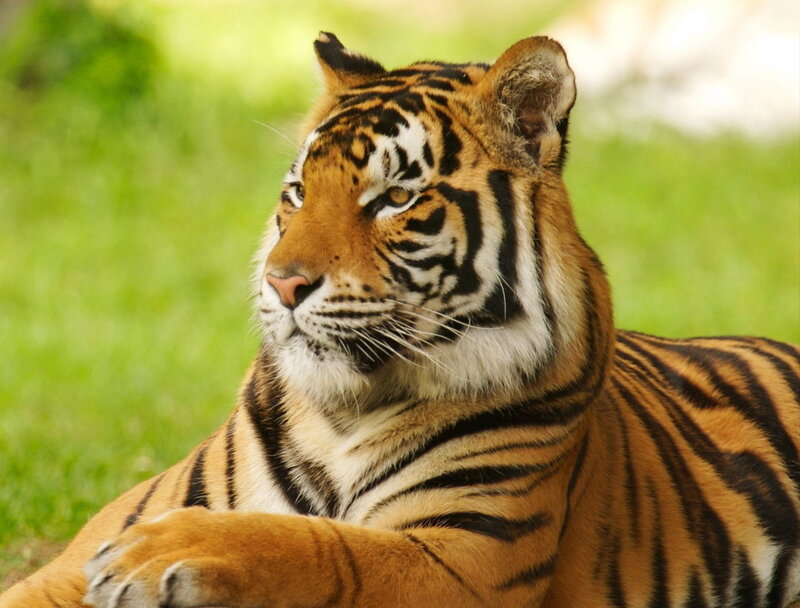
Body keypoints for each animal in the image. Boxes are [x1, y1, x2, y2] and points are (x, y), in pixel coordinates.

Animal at [2, 32, 799, 608]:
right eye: (297, 191)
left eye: (393, 199)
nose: (282, 283)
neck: (339, 412)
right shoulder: (75, 557)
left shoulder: (461, 557)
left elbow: (316, 545)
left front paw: (168, 552)